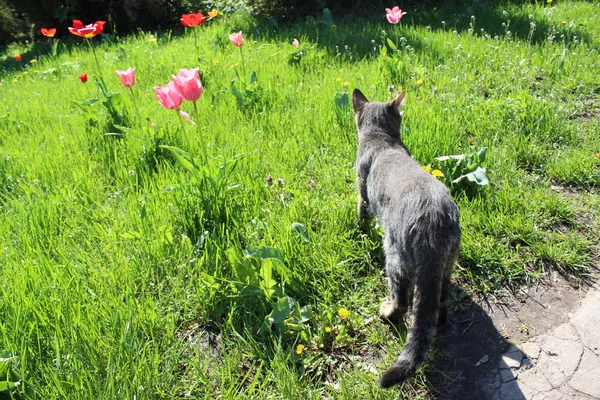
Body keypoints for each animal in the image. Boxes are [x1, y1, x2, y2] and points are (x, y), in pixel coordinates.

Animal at [352, 88, 460, 388]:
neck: (384, 140)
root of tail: (433, 218)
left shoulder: (363, 193)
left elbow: (361, 214)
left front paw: (357, 230)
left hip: (395, 255)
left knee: (401, 300)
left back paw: (386, 311)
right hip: (447, 263)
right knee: (440, 300)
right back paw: (440, 323)